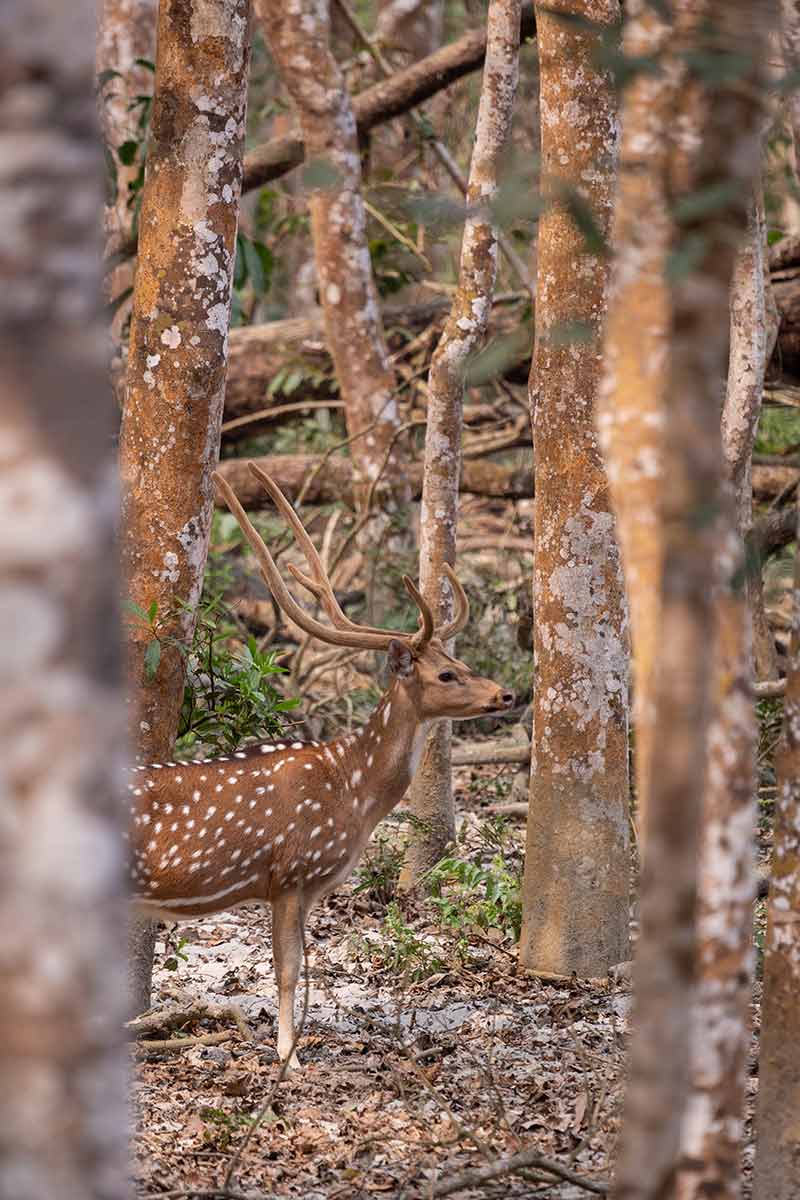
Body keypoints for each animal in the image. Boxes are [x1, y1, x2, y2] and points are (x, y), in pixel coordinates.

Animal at [127, 462, 514, 1068]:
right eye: (447, 674)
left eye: (460, 660)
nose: (507, 694)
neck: (351, 789)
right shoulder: (290, 872)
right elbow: (287, 971)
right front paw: (289, 1056)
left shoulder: (303, 888)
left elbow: (298, 966)